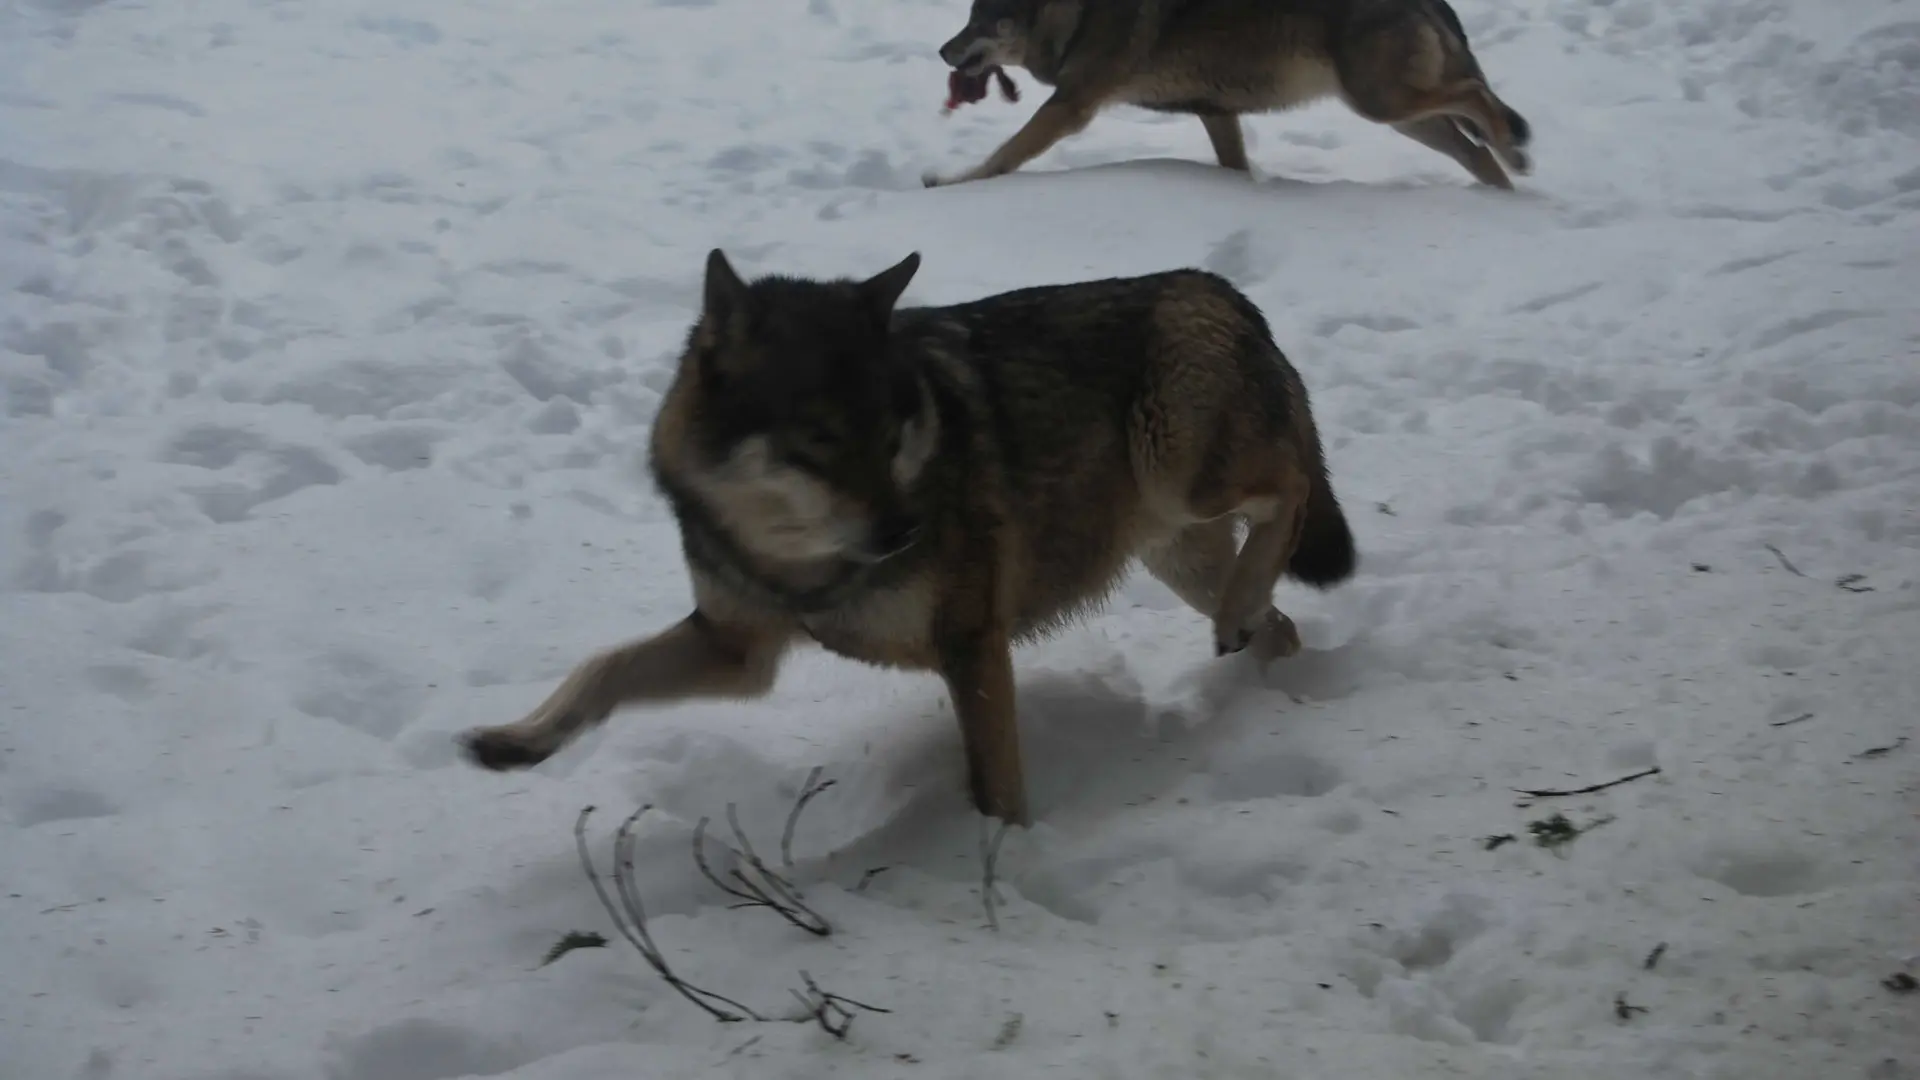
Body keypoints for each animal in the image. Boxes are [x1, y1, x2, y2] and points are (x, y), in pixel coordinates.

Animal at [459, 251, 1357, 826]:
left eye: (890, 431)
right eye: (820, 439)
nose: (906, 532)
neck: (801, 564)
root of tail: (1219, 286)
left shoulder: (970, 642)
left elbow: (996, 787)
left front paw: (1003, 869)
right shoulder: (737, 650)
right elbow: (601, 667)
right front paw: (515, 741)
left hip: (1181, 474)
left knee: (1291, 491)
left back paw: (1252, 635)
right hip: (1177, 550)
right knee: (1278, 614)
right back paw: (1269, 685)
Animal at [926, 0, 1532, 190]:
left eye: (979, 19)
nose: (942, 50)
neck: (1076, 10)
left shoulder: (1071, 106)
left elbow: (1004, 155)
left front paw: (951, 182)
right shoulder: (1216, 112)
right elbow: (1235, 166)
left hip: (1382, 104)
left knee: (1477, 97)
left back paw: (1514, 150)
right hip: (1401, 114)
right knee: (1476, 151)